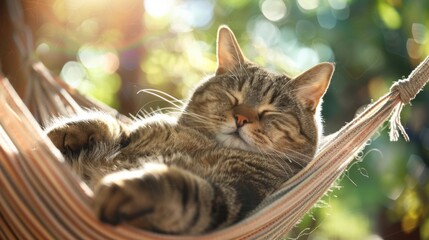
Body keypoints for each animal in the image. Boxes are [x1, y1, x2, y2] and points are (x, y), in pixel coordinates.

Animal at [46, 26, 334, 234]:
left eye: (270, 111)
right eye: (233, 96)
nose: (241, 118)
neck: (205, 144)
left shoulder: (232, 195)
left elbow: (177, 185)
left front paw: (129, 186)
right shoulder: (140, 130)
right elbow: (111, 124)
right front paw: (62, 133)